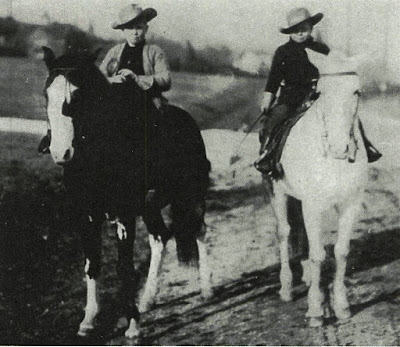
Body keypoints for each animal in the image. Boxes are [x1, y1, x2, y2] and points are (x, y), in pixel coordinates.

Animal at [41, 47, 212, 338]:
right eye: (46, 94)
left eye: (78, 95)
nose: (60, 153)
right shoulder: (86, 216)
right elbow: (92, 263)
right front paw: (88, 320)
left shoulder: (124, 216)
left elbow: (125, 268)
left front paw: (132, 325)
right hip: (150, 206)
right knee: (160, 237)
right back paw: (148, 299)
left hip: (191, 195)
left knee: (199, 230)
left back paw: (207, 288)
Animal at [266, 50, 368, 328]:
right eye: (320, 92)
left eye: (356, 91)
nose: (339, 148)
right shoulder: (313, 205)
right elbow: (318, 255)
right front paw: (315, 310)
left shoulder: (351, 204)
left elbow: (341, 252)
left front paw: (341, 306)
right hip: (278, 193)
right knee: (285, 233)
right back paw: (286, 287)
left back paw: (309, 277)